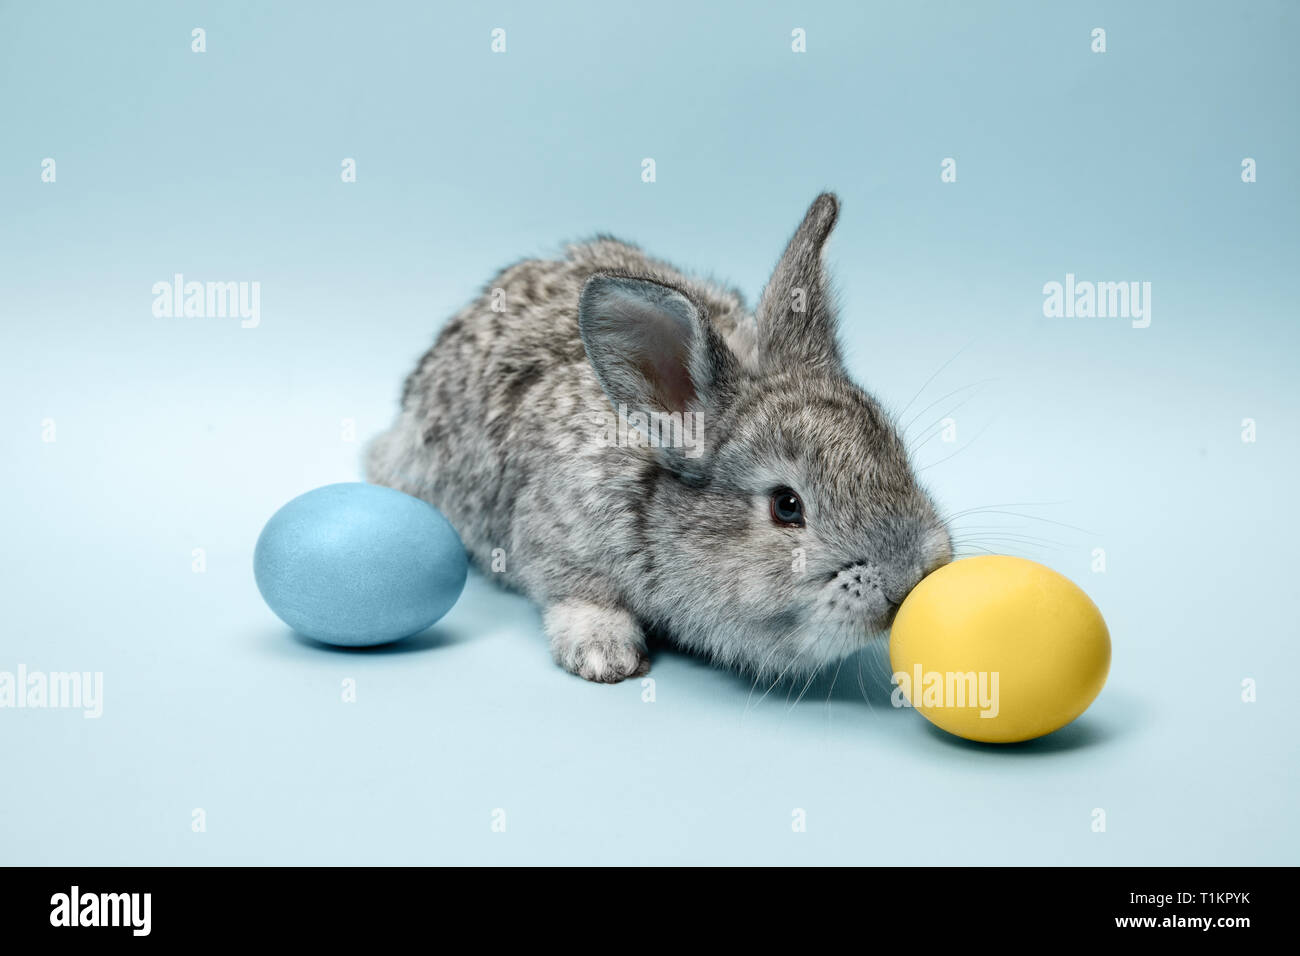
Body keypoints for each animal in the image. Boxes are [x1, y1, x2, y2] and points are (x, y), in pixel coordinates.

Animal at [366, 195, 956, 686]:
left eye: (897, 454)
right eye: (787, 506)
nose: (908, 581)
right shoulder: (554, 538)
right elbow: (573, 591)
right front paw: (605, 654)